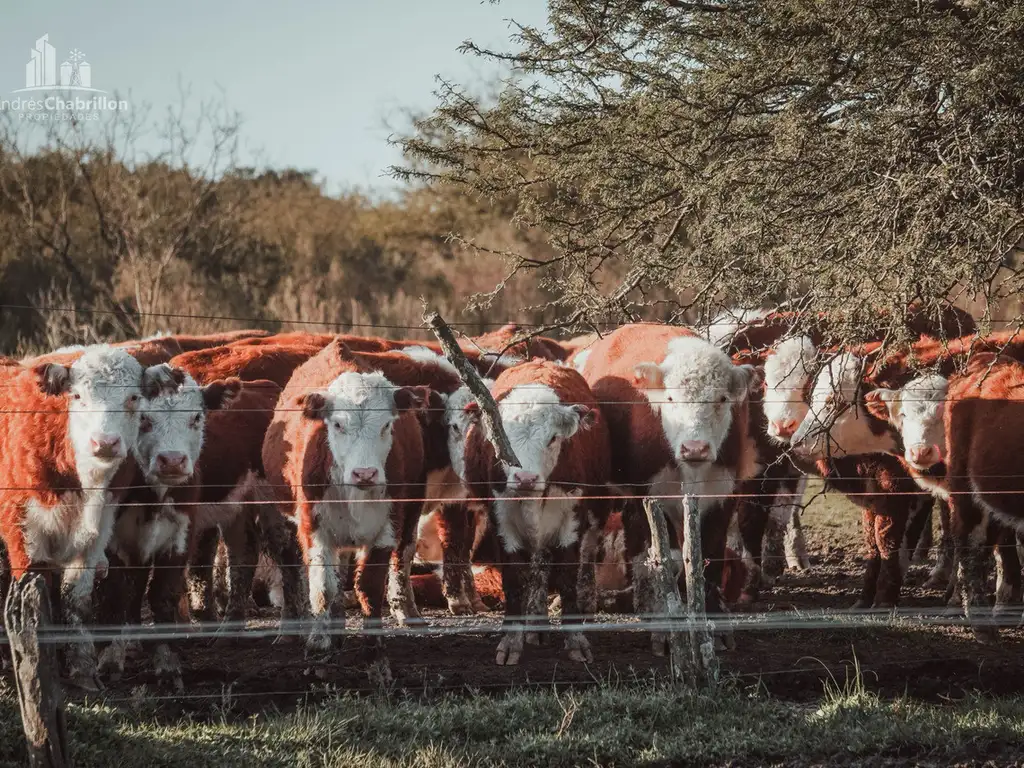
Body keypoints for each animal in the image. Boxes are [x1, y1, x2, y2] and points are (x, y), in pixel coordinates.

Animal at [0, 346, 168, 688]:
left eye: (133, 398)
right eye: (77, 396)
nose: (104, 442)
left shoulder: (97, 532)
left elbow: (75, 599)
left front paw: (82, 667)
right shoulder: (21, 529)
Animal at [262, 337, 430, 655]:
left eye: (386, 425)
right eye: (338, 425)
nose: (365, 473)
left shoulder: (388, 526)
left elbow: (369, 586)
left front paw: (374, 641)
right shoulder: (313, 527)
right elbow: (323, 587)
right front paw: (319, 640)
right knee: (294, 571)